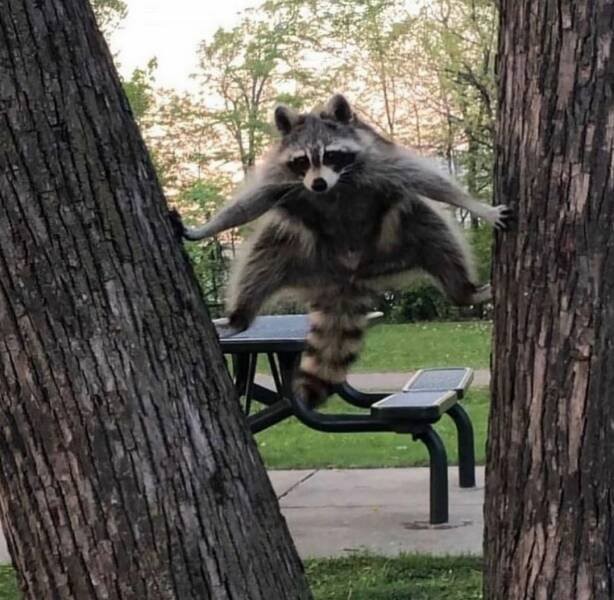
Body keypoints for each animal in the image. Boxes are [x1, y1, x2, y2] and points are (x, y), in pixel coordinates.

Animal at [179, 96, 516, 406]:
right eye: (302, 160)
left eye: (331, 155)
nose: (316, 184)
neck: (335, 186)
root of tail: (349, 273)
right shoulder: (282, 177)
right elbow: (251, 203)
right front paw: (206, 228)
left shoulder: (379, 160)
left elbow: (428, 181)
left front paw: (480, 207)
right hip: (300, 251)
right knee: (259, 262)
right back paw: (240, 317)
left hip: (398, 240)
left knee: (439, 237)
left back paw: (464, 292)